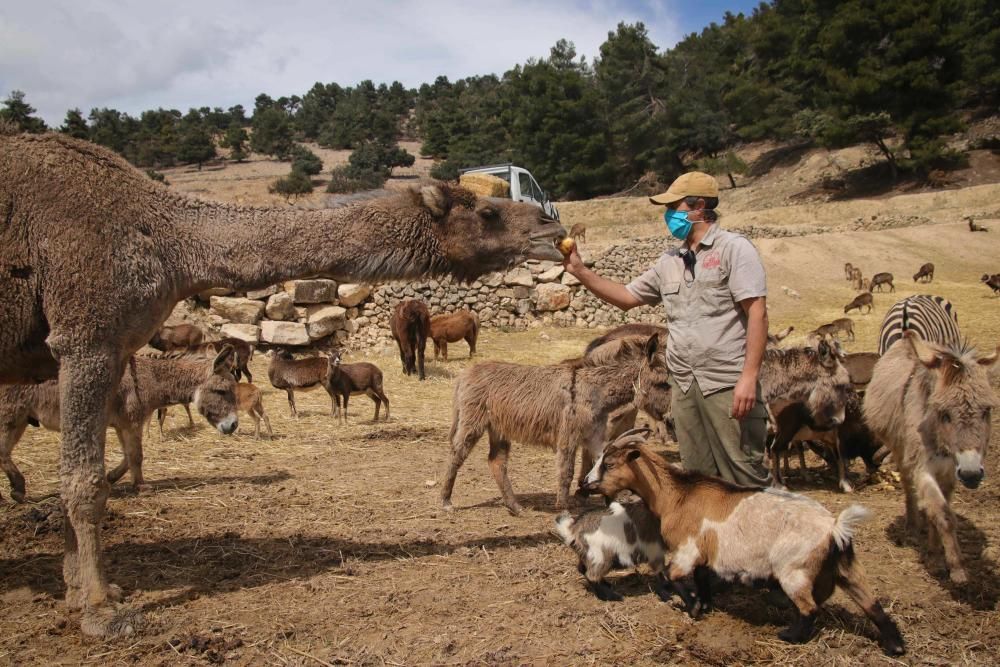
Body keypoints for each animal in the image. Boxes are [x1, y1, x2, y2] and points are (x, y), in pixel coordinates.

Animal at [0, 350, 239, 500]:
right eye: (221, 391)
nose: (234, 425)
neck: (150, 378)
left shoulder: (121, 424)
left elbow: (127, 457)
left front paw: (112, 477)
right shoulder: (133, 423)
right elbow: (136, 455)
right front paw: (141, 486)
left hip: (20, 420)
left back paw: (15, 490)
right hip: (10, 416)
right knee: (2, 452)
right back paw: (17, 488)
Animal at [442, 336, 668, 516]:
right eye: (663, 383)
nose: (667, 417)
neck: (593, 389)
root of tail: (465, 373)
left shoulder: (594, 435)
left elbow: (600, 459)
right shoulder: (568, 436)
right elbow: (566, 472)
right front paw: (564, 508)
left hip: (498, 429)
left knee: (496, 462)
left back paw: (514, 507)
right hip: (472, 424)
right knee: (455, 455)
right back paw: (446, 501)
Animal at [584, 428, 908, 656]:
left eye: (608, 463)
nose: (586, 483)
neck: (677, 494)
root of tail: (834, 528)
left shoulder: (687, 548)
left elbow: (675, 576)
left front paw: (692, 607)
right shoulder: (705, 555)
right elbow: (702, 578)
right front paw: (704, 604)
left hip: (794, 570)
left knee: (810, 609)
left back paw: (789, 635)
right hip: (847, 567)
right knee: (873, 605)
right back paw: (896, 647)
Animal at [864, 332, 996, 580]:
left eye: (987, 411)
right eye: (944, 413)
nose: (972, 475)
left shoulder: (950, 472)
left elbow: (941, 511)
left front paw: (936, 556)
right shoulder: (923, 469)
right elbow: (942, 514)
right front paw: (955, 567)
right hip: (900, 452)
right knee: (908, 487)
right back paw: (912, 527)